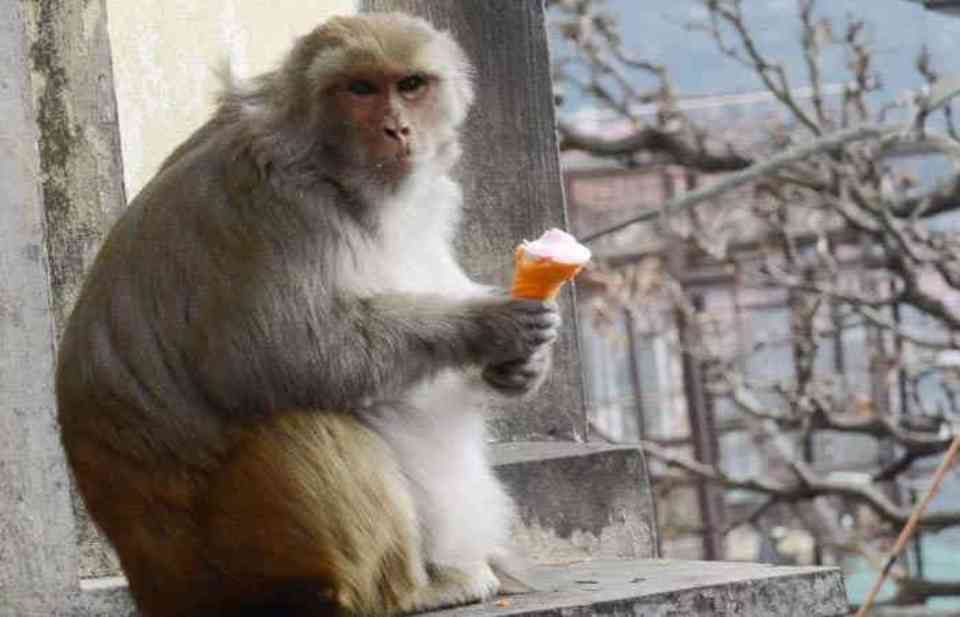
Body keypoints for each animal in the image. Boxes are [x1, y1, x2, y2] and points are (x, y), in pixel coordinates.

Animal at [55, 13, 560, 617]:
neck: (332, 170)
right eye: (360, 88)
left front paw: (521, 368)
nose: (396, 128)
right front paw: (487, 326)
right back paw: (406, 591)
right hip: (234, 573)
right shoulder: (278, 205)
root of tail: (157, 589)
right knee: (303, 423)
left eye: (411, 84)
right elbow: (284, 353)